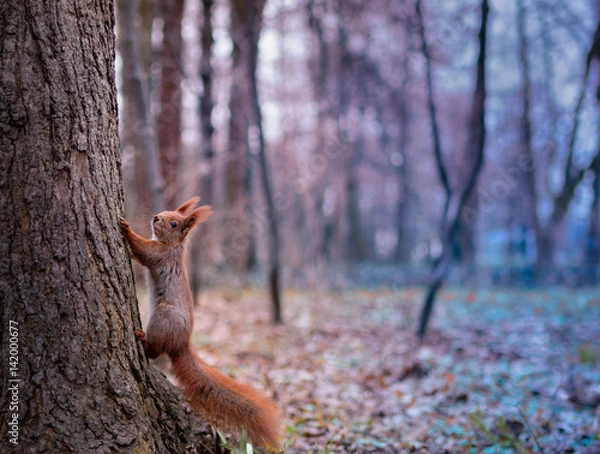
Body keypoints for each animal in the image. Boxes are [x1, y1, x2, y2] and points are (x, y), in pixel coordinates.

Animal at [120, 197, 284, 448]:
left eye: (174, 223)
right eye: (166, 212)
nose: (156, 217)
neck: (172, 246)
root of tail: (181, 344)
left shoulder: (159, 255)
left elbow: (142, 250)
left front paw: (126, 227)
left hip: (163, 318)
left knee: (155, 351)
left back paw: (142, 339)